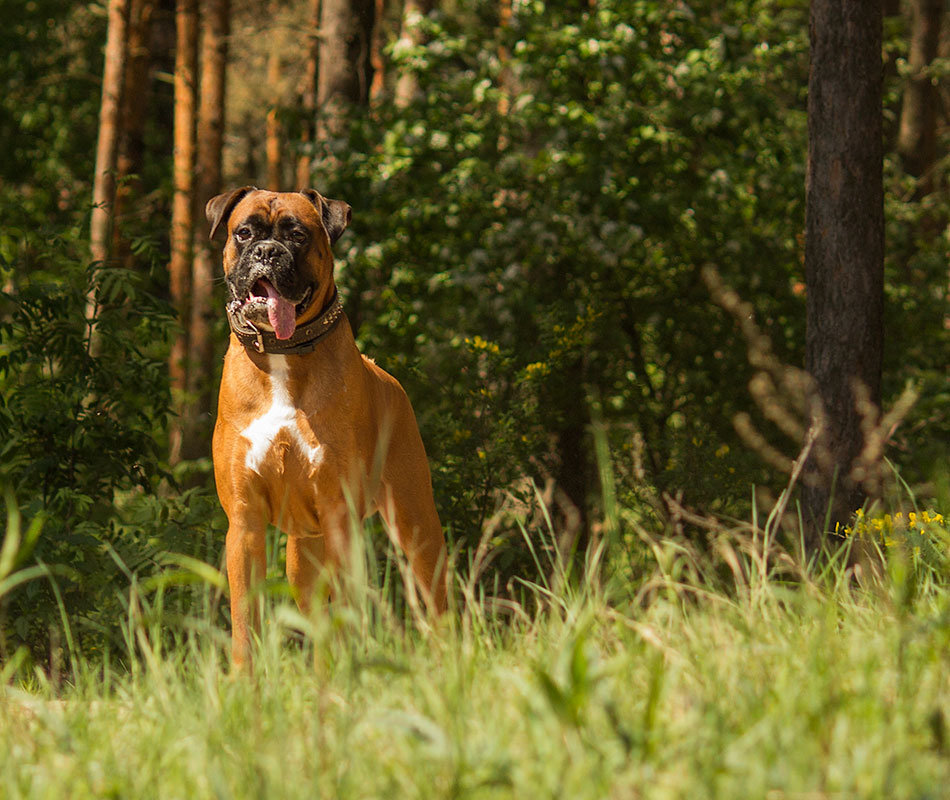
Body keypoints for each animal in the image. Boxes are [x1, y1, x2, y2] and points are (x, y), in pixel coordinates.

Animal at [205, 189, 450, 668]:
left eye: (298, 235)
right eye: (244, 232)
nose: (267, 252)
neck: (282, 354)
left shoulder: (340, 516)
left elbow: (346, 615)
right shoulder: (244, 523)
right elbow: (245, 618)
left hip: (414, 524)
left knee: (434, 600)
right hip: (304, 555)